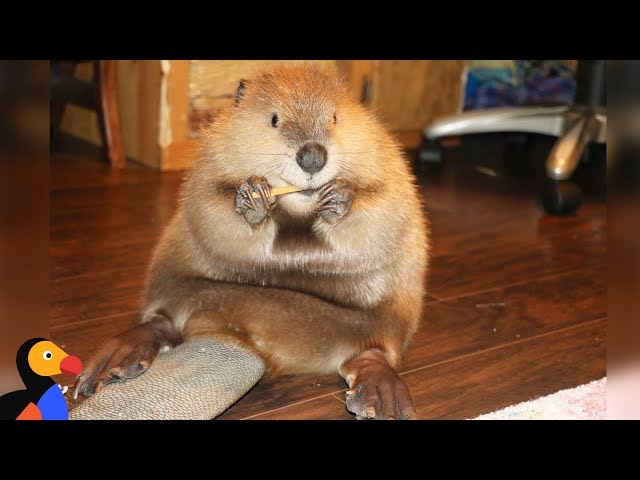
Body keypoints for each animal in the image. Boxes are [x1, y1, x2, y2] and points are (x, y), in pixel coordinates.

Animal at [75, 63, 430, 420]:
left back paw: (383, 403)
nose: (313, 157)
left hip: (387, 319)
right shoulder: (208, 172)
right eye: (274, 119)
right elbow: (212, 211)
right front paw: (254, 196)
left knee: (375, 351)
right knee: (162, 320)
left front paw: (339, 197)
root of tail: (239, 339)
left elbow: (381, 212)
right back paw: (110, 365)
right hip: (172, 279)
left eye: (334, 117)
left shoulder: (390, 169)